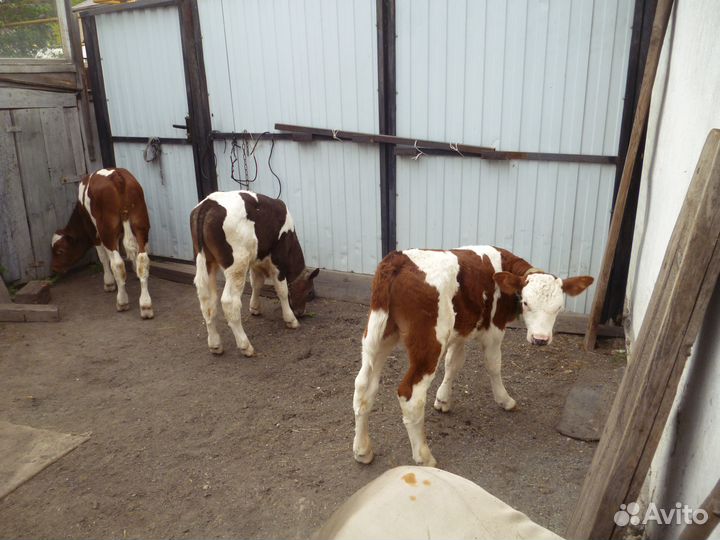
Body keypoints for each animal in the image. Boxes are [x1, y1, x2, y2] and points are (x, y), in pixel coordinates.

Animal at [51, 168, 153, 319]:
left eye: (60, 251)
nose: (54, 267)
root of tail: (117, 177)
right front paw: (134, 271)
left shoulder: (93, 231)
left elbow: (103, 257)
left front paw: (109, 283)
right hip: (140, 224)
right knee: (142, 259)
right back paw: (146, 305)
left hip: (107, 231)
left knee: (118, 264)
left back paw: (122, 301)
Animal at [190, 190, 319, 357]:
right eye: (310, 293)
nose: (301, 312)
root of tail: (208, 203)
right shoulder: (278, 259)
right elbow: (282, 290)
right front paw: (291, 319)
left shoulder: (257, 260)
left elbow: (257, 283)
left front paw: (255, 308)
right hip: (237, 264)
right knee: (229, 302)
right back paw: (245, 346)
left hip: (206, 261)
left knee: (207, 301)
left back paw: (215, 345)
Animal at [352, 246, 593, 467]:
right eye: (526, 303)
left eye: (559, 307)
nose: (540, 339)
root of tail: (398, 259)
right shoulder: (494, 329)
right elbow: (493, 365)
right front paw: (505, 400)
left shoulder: (461, 330)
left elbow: (453, 363)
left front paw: (443, 400)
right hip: (428, 345)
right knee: (410, 395)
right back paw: (424, 457)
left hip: (379, 336)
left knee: (364, 386)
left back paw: (363, 450)